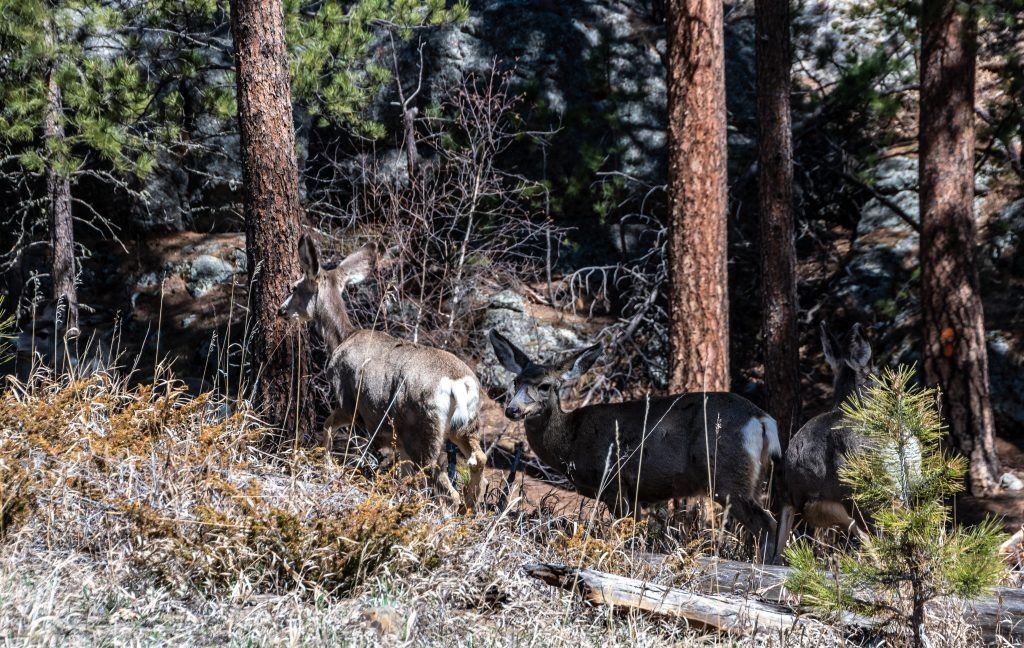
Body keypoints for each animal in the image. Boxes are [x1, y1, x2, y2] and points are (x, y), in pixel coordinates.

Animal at [277, 234, 488, 510]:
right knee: (479, 460)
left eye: (293, 287)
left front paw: (326, 466)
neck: (342, 338)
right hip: (465, 425)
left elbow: (328, 425)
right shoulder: (392, 435)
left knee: (444, 486)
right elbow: (403, 473)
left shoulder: (351, 401)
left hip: (422, 429)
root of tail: (457, 383)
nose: (281, 310)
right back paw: (472, 506)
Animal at [489, 330, 781, 557]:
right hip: (751, 479)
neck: (570, 440)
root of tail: (763, 420)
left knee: (766, 524)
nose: (512, 410)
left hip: (728, 476)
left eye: (545, 385)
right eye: (516, 381)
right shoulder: (635, 492)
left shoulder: (614, 481)